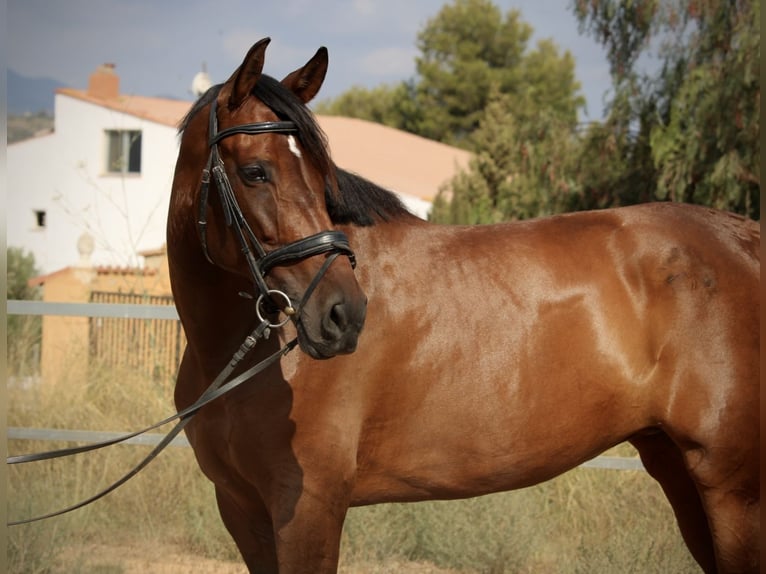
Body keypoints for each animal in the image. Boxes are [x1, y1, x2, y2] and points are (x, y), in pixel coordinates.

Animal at [168, 38, 760, 572]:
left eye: (322, 175)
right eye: (255, 172)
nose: (344, 314)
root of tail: (746, 239)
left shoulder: (307, 507)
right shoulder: (243, 510)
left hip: (733, 490)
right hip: (677, 468)